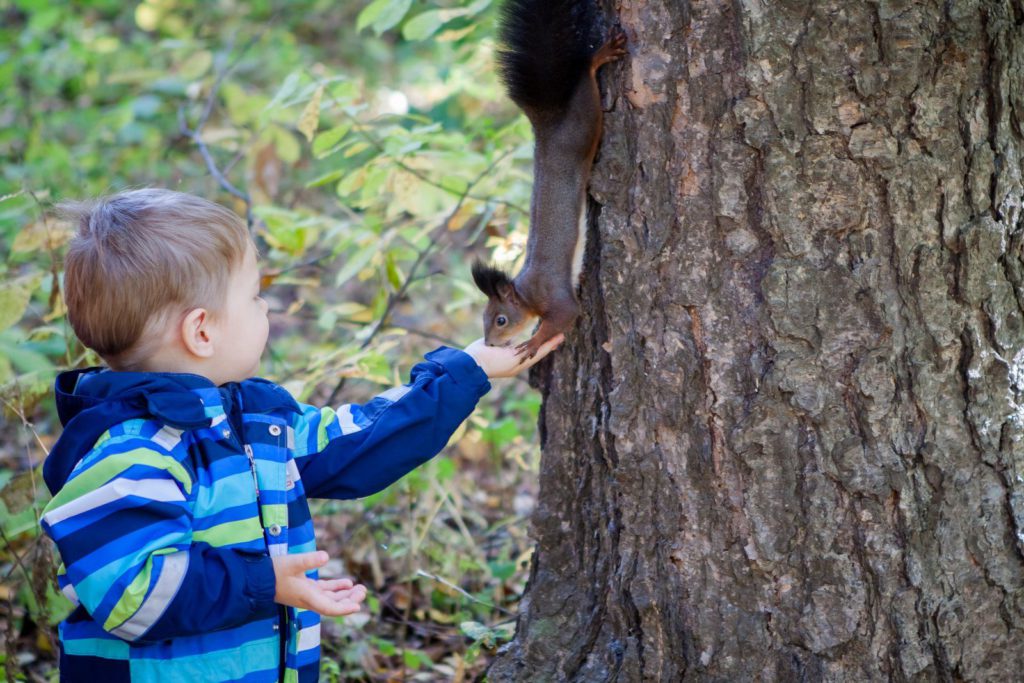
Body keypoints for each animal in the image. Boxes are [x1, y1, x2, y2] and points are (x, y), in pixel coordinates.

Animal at [468, 0, 622, 360]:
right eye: (484, 317)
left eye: (500, 319)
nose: (489, 344)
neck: (526, 294)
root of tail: (546, 121)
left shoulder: (553, 294)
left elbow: (567, 314)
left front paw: (535, 342)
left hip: (582, 122)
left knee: (585, 82)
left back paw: (599, 57)